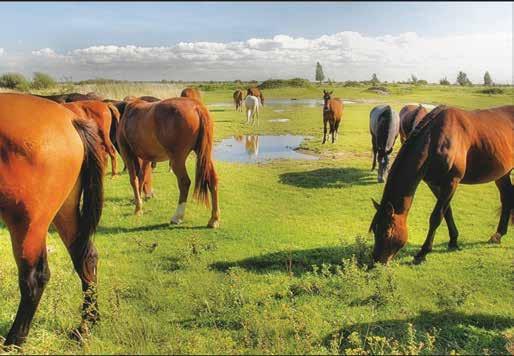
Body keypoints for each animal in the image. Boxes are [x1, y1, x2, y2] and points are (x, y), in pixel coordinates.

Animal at [0, 93, 104, 346]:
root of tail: (70, 120)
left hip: (26, 222)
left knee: (34, 278)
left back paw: (14, 340)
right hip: (64, 212)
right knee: (85, 257)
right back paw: (85, 326)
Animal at [115, 96, 219, 228]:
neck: (128, 110)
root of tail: (197, 107)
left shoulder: (127, 153)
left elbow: (134, 180)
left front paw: (138, 208)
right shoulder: (146, 157)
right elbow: (142, 177)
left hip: (177, 160)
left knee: (184, 182)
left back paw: (177, 217)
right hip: (204, 154)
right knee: (213, 180)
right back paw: (214, 219)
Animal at [368, 105, 512, 264]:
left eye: (387, 233)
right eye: (375, 230)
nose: (376, 260)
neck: (435, 140)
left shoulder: (451, 182)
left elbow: (436, 216)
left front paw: (422, 253)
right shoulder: (435, 184)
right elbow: (447, 212)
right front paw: (453, 241)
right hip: (503, 173)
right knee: (507, 197)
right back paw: (498, 235)